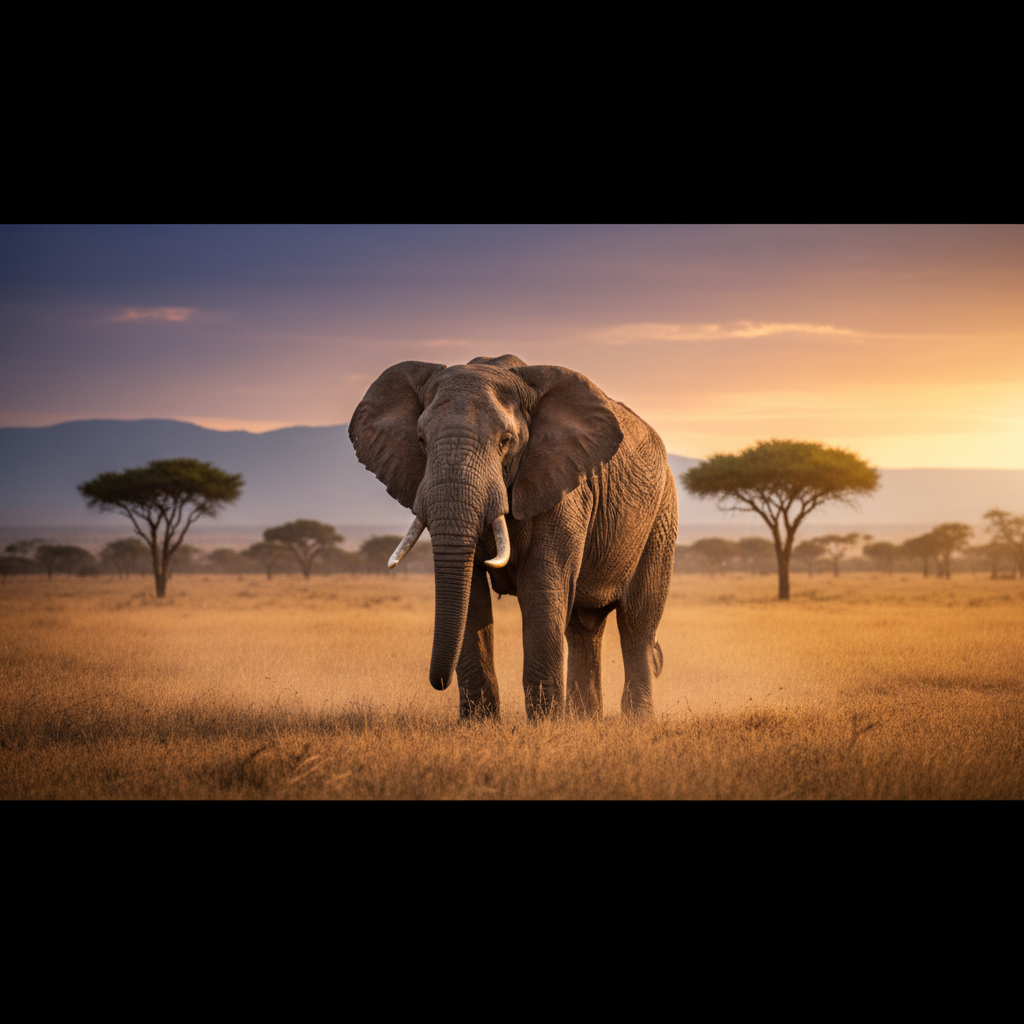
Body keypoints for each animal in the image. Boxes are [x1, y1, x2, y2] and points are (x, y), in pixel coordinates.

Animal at [349, 354, 678, 720]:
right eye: (420, 440)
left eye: (505, 441)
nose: (438, 682)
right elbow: (472, 593)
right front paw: (478, 724)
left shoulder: (564, 487)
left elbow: (542, 585)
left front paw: (546, 725)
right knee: (583, 627)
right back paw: (584, 720)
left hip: (661, 516)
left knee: (637, 622)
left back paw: (636, 721)